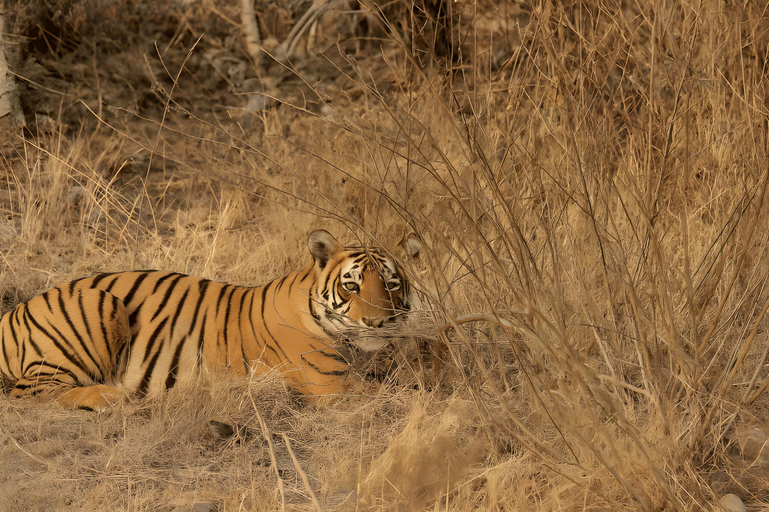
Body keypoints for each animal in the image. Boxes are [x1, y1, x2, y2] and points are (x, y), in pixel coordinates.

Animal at [0, 230, 422, 410]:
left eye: (390, 284)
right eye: (351, 285)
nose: (377, 324)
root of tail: (13, 311)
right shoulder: (329, 384)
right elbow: (405, 392)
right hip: (100, 304)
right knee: (30, 395)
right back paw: (111, 397)